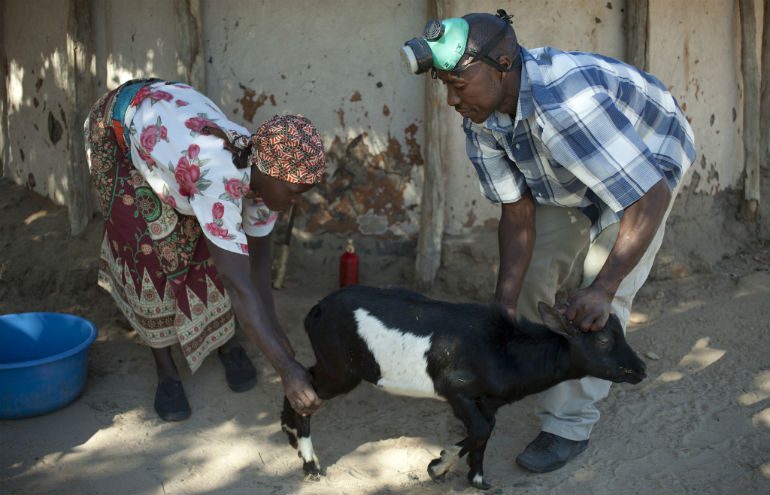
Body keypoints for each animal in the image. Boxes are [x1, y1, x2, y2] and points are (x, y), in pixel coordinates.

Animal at [280, 284, 644, 490]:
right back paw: (311, 466)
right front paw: (438, 465)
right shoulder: (457, 390)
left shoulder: (488, 401)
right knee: (307, 390)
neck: (505, 349)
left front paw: (478, 480)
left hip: (333, 366)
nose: (640, 369)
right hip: (341, 370)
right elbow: (481, 430)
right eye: (603, 340)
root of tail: (317, 310)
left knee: (302, 379)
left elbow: (485, 433)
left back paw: (290, 435)